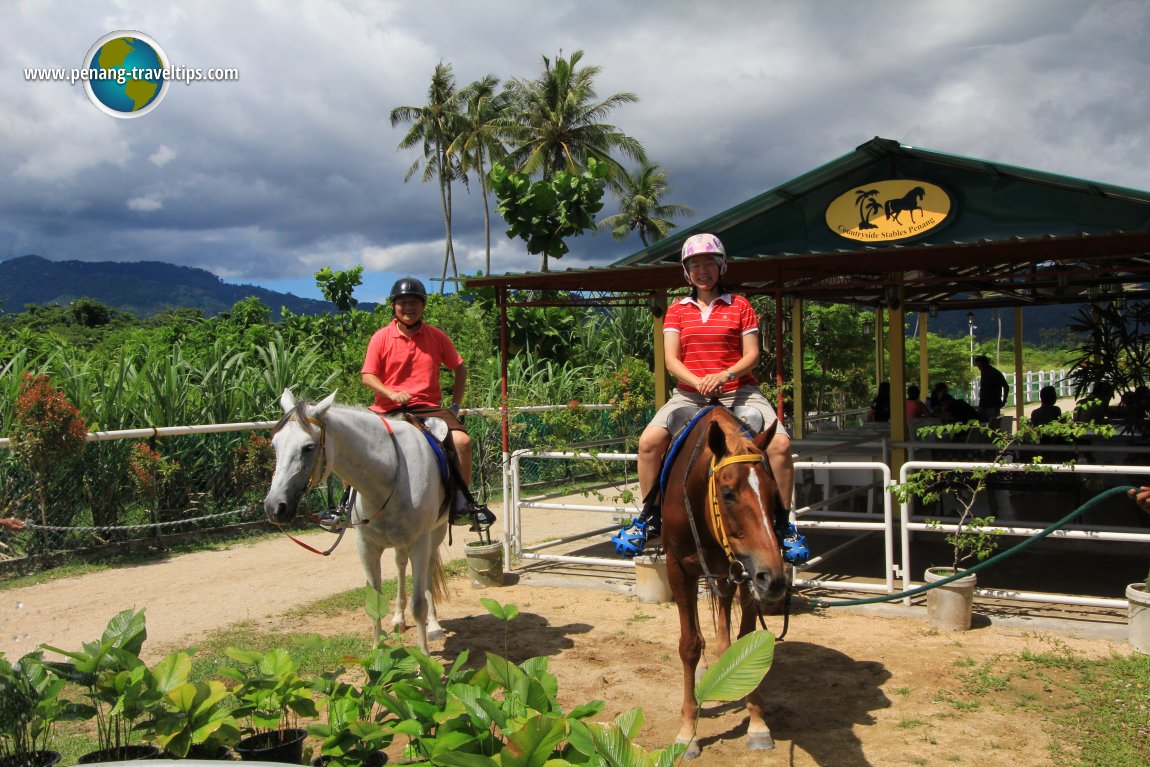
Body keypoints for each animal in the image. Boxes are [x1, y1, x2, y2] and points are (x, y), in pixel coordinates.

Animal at [264, 386, 448, 653]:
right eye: (275, 445)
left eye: (308, 447)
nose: (274, 507)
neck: (389, 474)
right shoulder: (366, 545)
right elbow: (374, 602)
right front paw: (377, 655)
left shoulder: (419, 542)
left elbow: (419, 605)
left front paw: (424, 660)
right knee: (401, 565)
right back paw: (398, 619)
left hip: (435, 534)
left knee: (428, 573)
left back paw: (433, 626)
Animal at [657, 407, 791, 754]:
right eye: (728, 494)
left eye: (774, 494)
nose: (775, 579)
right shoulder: (679, 569)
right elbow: (689, 645)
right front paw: (687, 731)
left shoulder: (748, 572)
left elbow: (746, 644)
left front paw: (757, 724)